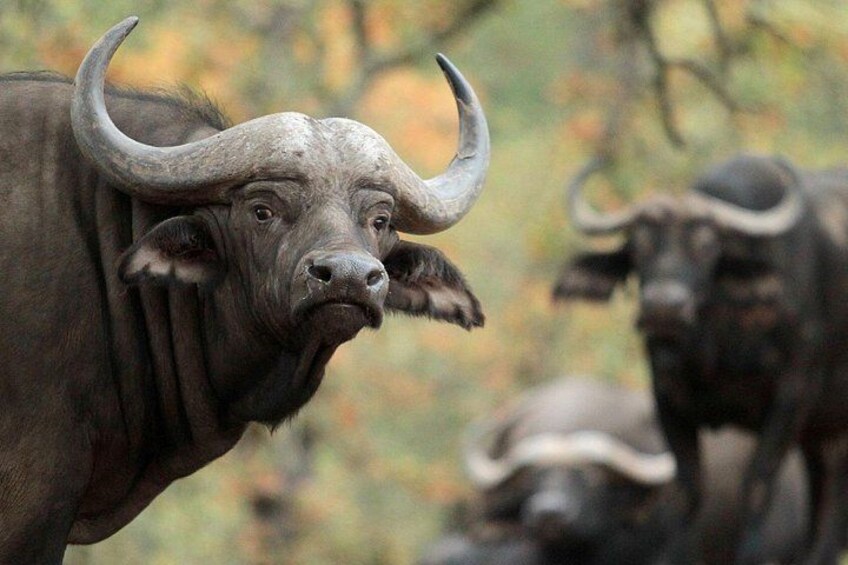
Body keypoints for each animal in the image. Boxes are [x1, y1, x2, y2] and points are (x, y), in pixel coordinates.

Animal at [554, 155, 848, 564]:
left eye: (707, 247)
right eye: (639, 246)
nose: (664, 308)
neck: (717, 345)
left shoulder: (792, 396)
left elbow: (757, 483)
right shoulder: (667, 398)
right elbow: (688, 489)